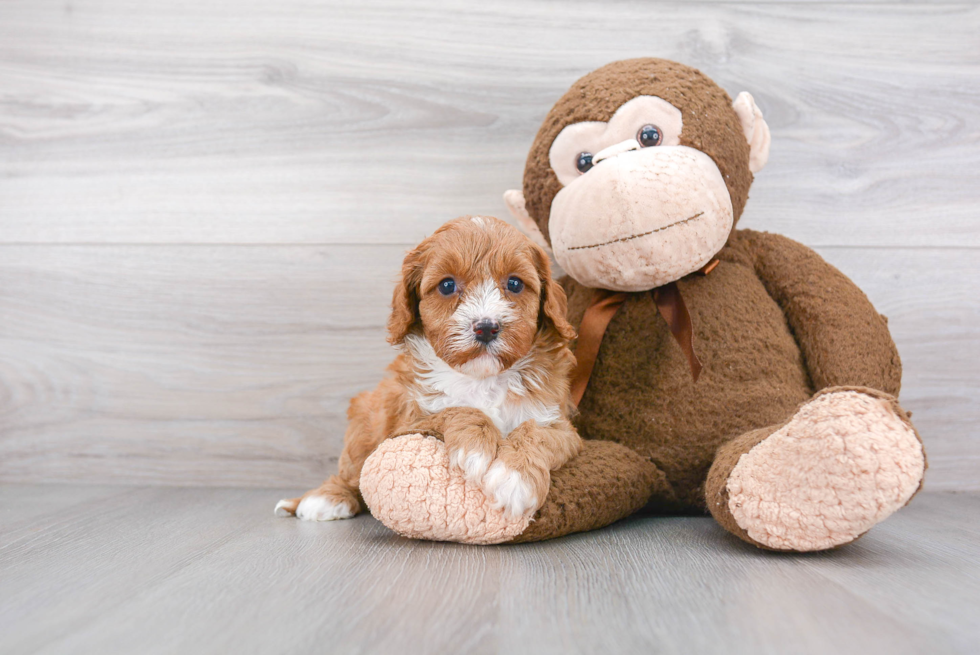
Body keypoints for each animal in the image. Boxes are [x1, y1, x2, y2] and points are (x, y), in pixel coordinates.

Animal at [274, 217, 580, 524]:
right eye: (447, 285)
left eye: (515, 283)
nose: (486, 327)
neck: (482, 378)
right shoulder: (407, 422)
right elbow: (456, 409)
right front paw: (476, 449)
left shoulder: (560, 425)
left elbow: (536, 432)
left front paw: (514, 479)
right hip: (365, 420)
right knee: (350, 471)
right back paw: (325, 498)